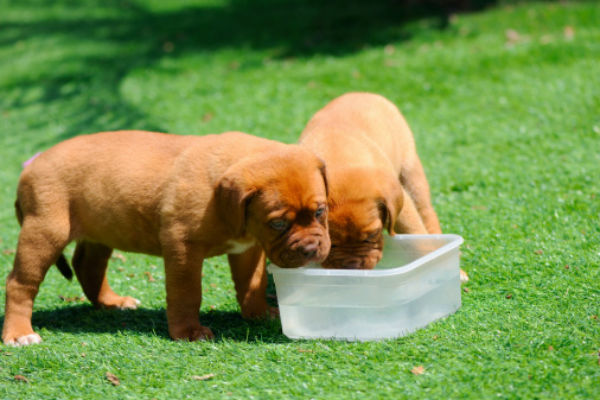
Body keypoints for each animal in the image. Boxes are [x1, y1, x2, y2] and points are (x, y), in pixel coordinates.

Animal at [2, 130, 330, 346]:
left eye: (320, 211)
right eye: (278, 223)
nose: (311, 249)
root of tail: (30, 167)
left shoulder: (247, 249)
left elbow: (251, 284)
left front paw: (258, 314)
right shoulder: (183, 247)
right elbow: (187, 293)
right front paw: (188, 332)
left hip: (101, 230)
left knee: (87, 266)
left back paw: (112, 302)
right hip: (45, 230)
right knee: (20, 283)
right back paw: (19, 334)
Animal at [302, 94, 466, 278]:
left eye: (373, 234)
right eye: (330, 241)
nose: (352, 267)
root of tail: (361, 93)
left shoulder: (402, 205)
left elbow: (416, 233)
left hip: (411, 172)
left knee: (426, 213)